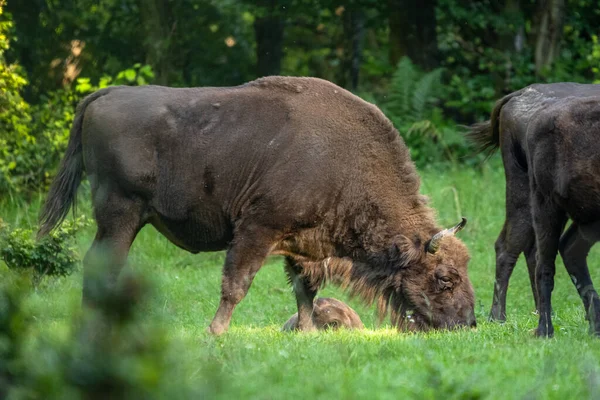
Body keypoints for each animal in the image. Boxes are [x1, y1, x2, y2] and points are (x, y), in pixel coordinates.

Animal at [39, 76, 476, 334]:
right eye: (445, 278)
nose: (468, 323)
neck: (345, 160)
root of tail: (105, 94)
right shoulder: (257, 230)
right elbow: (236, 284)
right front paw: (215, 333)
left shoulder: (304, 247)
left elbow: (306, 291)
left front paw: (307, 334)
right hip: (121, 214)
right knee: (102, 263)